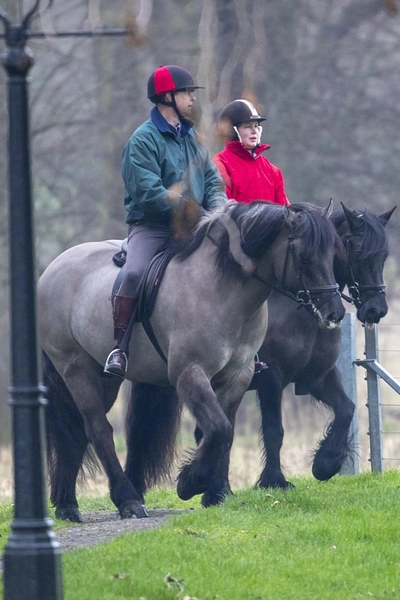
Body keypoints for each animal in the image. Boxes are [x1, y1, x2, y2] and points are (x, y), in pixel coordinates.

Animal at [38, 202, 344, 520]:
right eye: (304, 256)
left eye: (334, 253)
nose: (334, 313)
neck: (222, 289)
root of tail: (52, 268)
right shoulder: (191, 374)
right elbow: (220, 429)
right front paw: (191, 482)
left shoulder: (238, 376)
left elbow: (225, 430)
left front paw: (216, 492)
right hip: (76, 368)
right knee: (98, 429)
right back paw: (127, 499)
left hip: (104, 377)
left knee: (76, 431)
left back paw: (67, 504)